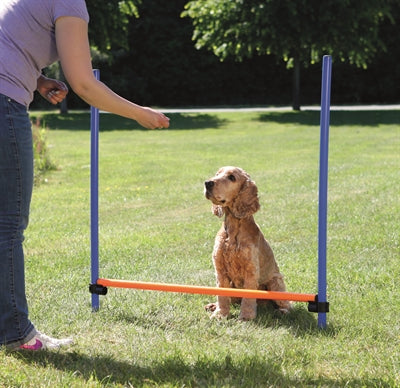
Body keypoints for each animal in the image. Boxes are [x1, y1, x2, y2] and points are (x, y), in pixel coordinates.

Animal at [203, 165, 290, 320]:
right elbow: (222, 294)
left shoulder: (251, 270)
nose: (207, 183)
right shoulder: (220, 269)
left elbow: (248, 297)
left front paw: (246, 317)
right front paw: (220, 314)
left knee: (288, 304)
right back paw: (213, 305)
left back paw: (282, 311)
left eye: (232, 177)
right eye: (217, 174)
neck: (232, 233)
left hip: (275, 281)